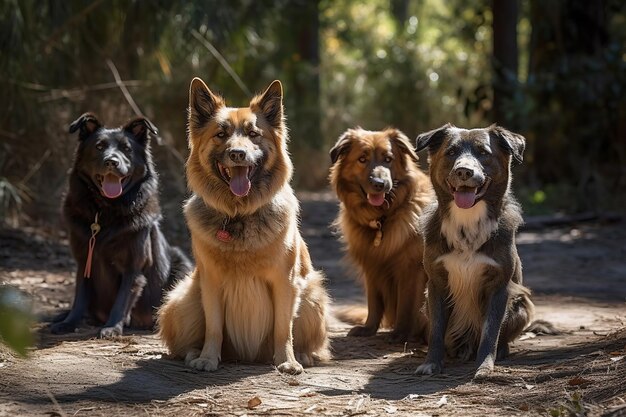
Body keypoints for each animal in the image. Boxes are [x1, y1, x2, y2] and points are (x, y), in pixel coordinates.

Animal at [51, 113, 191, 338]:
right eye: (99, 146)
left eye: (127, 149)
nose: (111, 162)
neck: (106, 211)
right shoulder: (83, 260)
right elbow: (80, 297)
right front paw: (68, 322)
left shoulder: (133, 266)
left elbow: (122, 298)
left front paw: (112, 327)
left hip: (182, 264)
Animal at [158, 78, 330, 374]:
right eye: (221, 134)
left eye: (253, 134)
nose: (238, 154)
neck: (238, 215)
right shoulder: (211, 283)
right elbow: (214, 327)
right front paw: (208, 358)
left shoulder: (285, 283)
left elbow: (283, 329)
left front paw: (287, 360)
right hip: (183, 302)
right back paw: (194, 353)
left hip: (312, 296)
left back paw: (303, 355)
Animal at [330, 127, 432, 342]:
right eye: (362, 159)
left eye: (388, 159)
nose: (381, 183)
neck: (382, 218)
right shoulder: (372, 265)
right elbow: (374, 302)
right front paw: (368, 328)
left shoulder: (411, 268)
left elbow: (406, 304)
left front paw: (400, 333)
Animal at [412, 122, 532, 376]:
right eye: (451, 152)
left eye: (483, 152)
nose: (464, 172)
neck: (467, 221)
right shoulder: (436, 283)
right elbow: (436, 331)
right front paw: (431, 363)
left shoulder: (499, 286)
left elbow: (490, 333)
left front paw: (484, 367)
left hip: (521, 305)